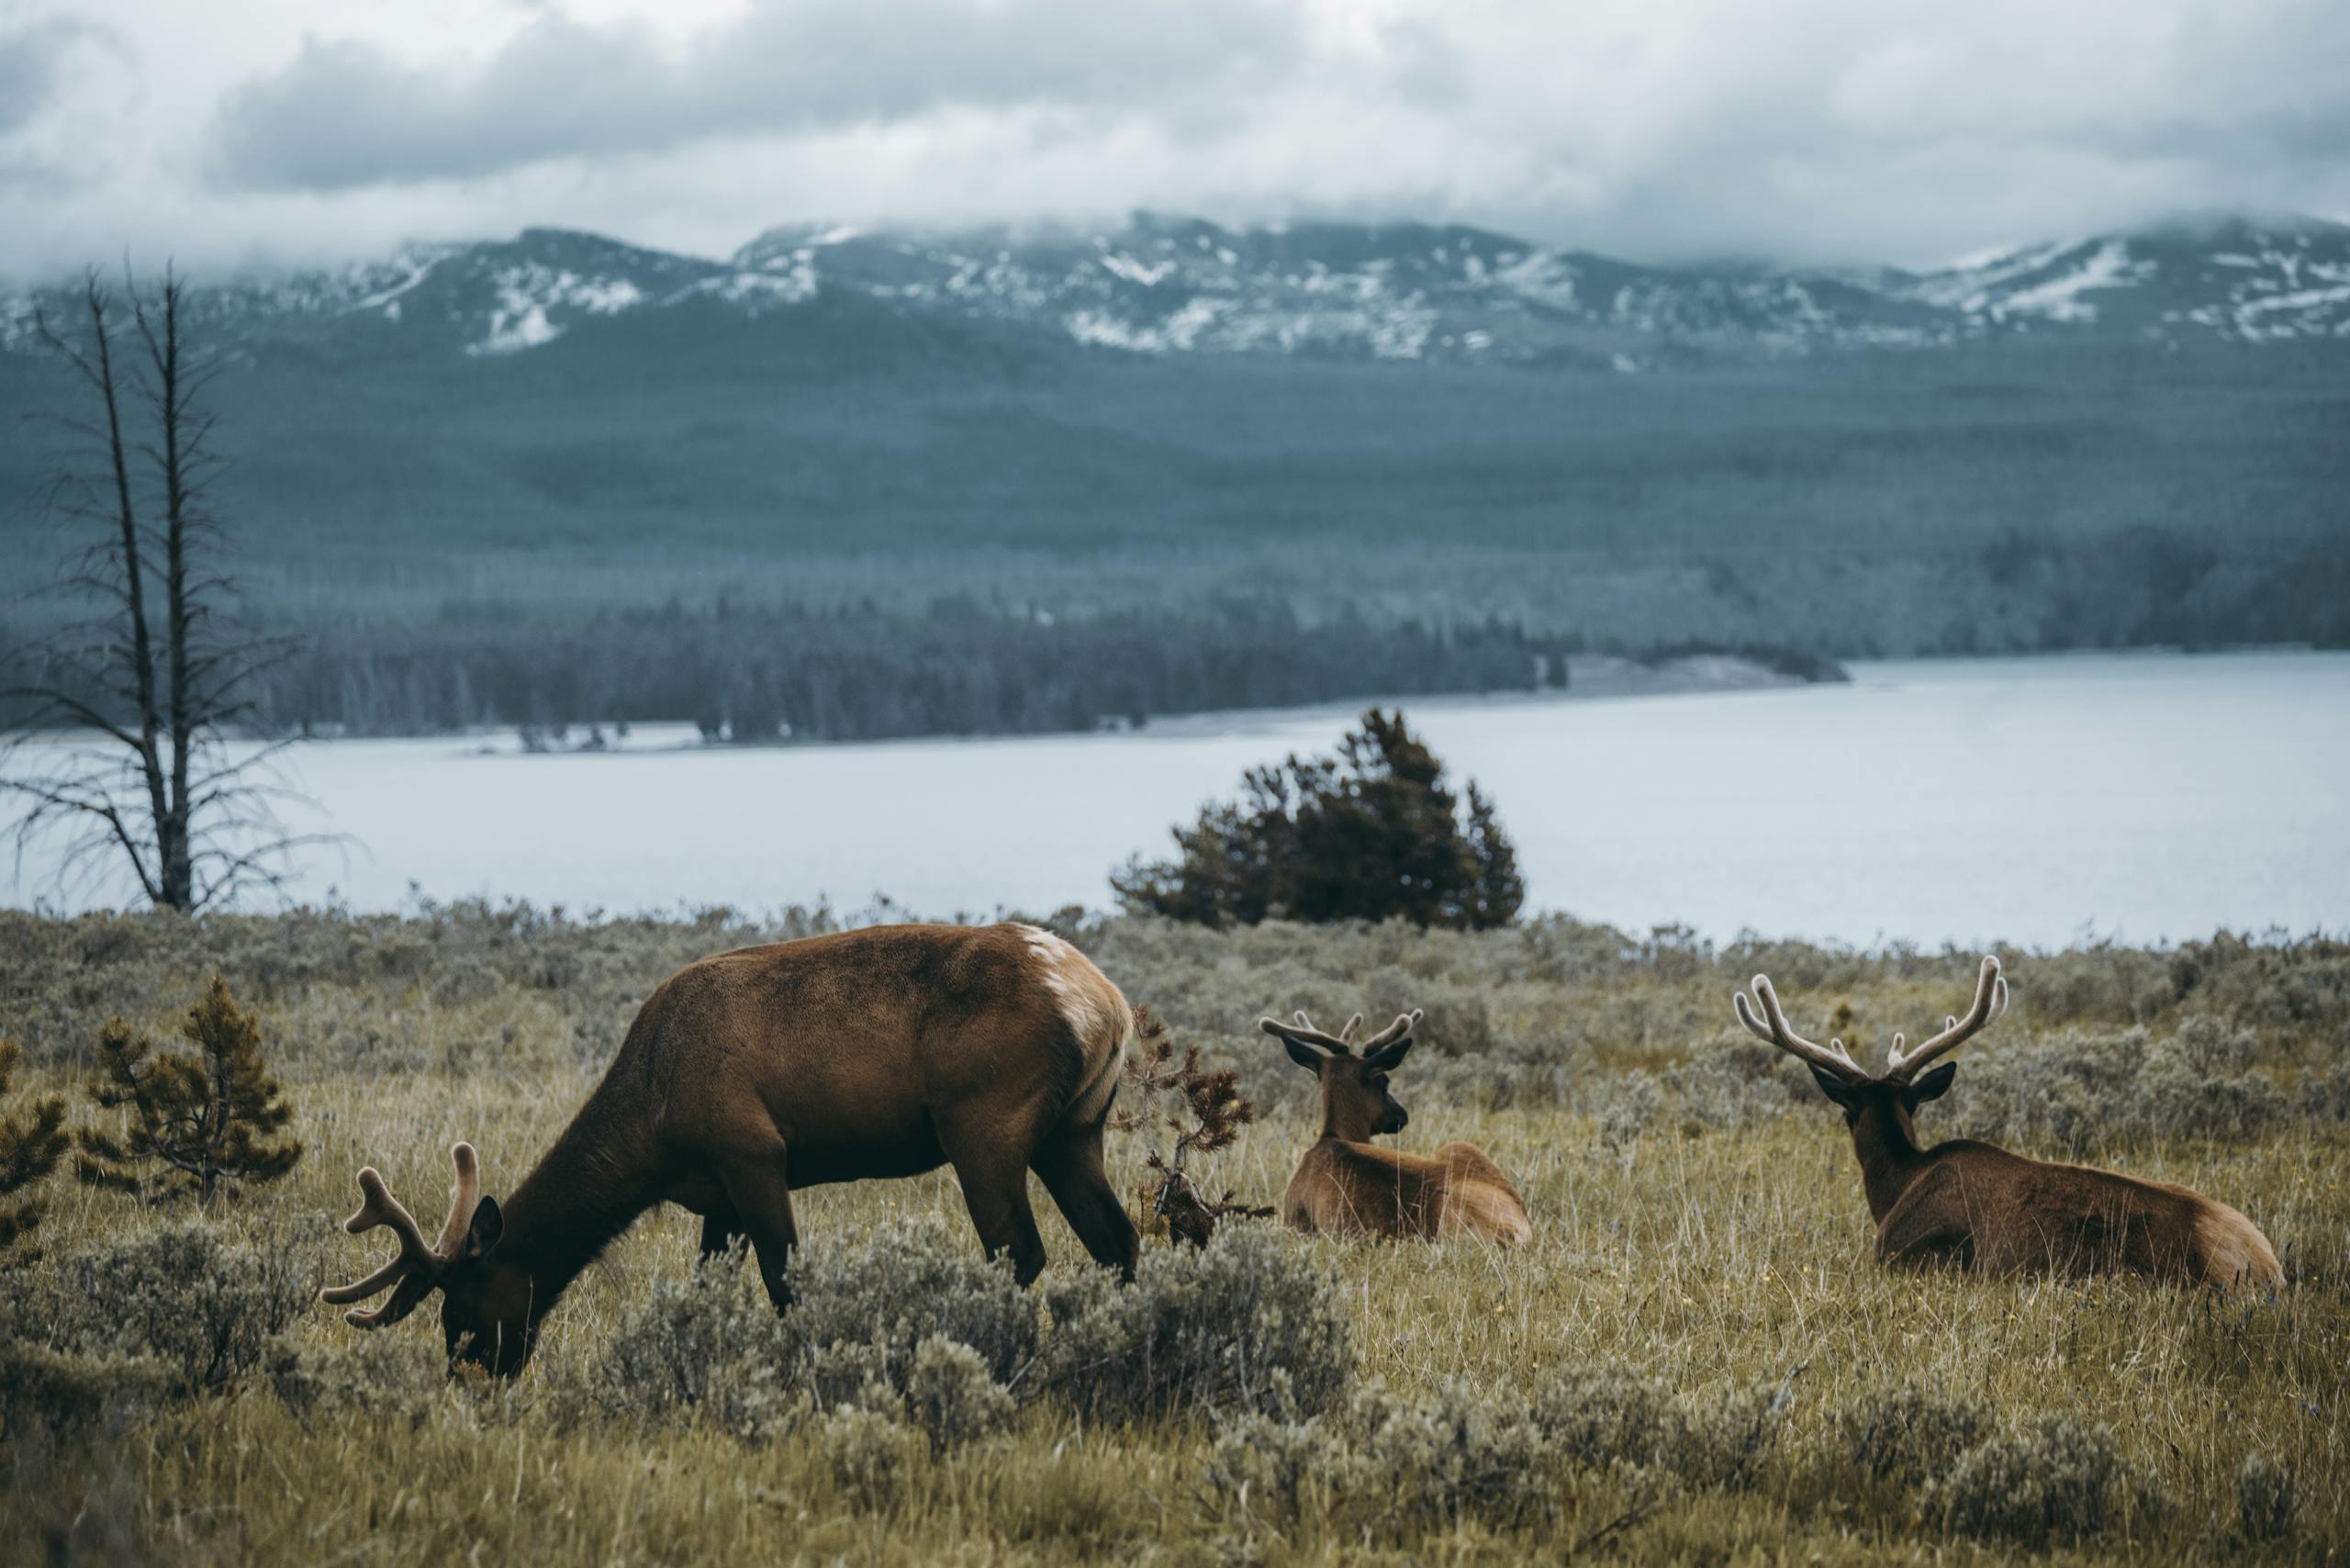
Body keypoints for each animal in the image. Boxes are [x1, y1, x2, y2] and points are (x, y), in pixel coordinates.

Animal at [322, 922, 1140, 1375]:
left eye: (462, 1305)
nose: (472, 1376)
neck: (651, 1131)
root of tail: (1106, 1003)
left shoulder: (752, 1151)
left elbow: (785, 1283)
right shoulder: (715, 1195)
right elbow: (708, 1289)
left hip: (983, 1123)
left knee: (1022, 1252)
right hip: (1076, 1130)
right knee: (1117, 1240)